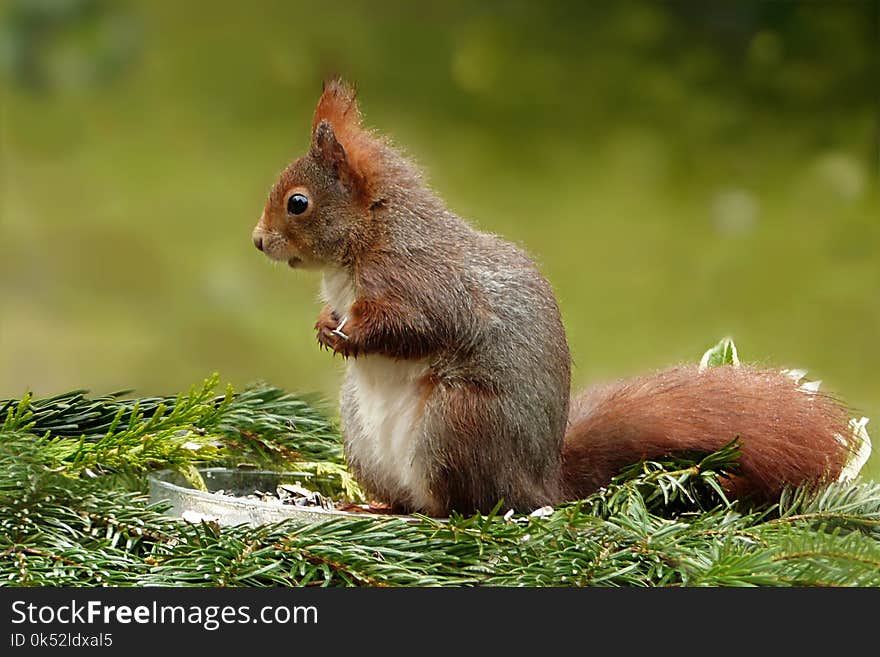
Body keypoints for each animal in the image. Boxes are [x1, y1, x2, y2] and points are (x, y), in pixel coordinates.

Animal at [251, 78, 864, 516]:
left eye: (298, 203)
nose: (257, 241)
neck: (369, 238)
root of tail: (540, 483)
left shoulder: (423, 281)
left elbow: (418, 326)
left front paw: (347, 334)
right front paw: (324, 325)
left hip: (457, 421)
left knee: (459, 506)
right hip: (363, 429)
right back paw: (371, 504)